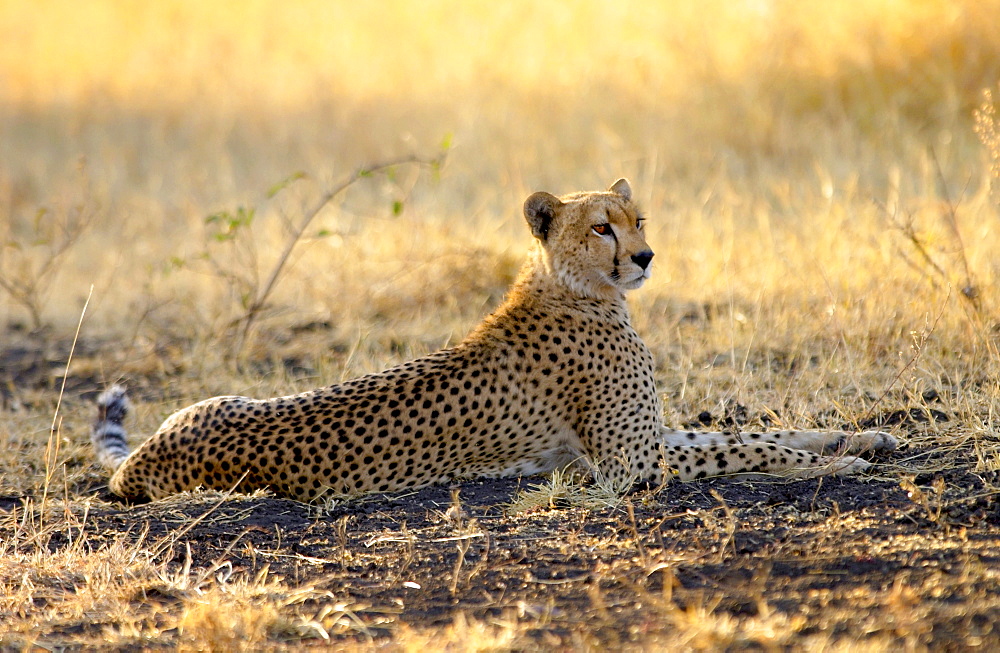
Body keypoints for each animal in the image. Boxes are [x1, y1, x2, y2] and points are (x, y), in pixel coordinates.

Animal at [90, 178, 896, 500]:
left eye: (638, 220)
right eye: (600, 227)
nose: (645, 257)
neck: (579, 290)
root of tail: (145, 459)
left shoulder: (646, 438)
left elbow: (756, 431)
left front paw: (862, 438)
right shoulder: (628, 463)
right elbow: (750, 449)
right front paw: (840, 464)